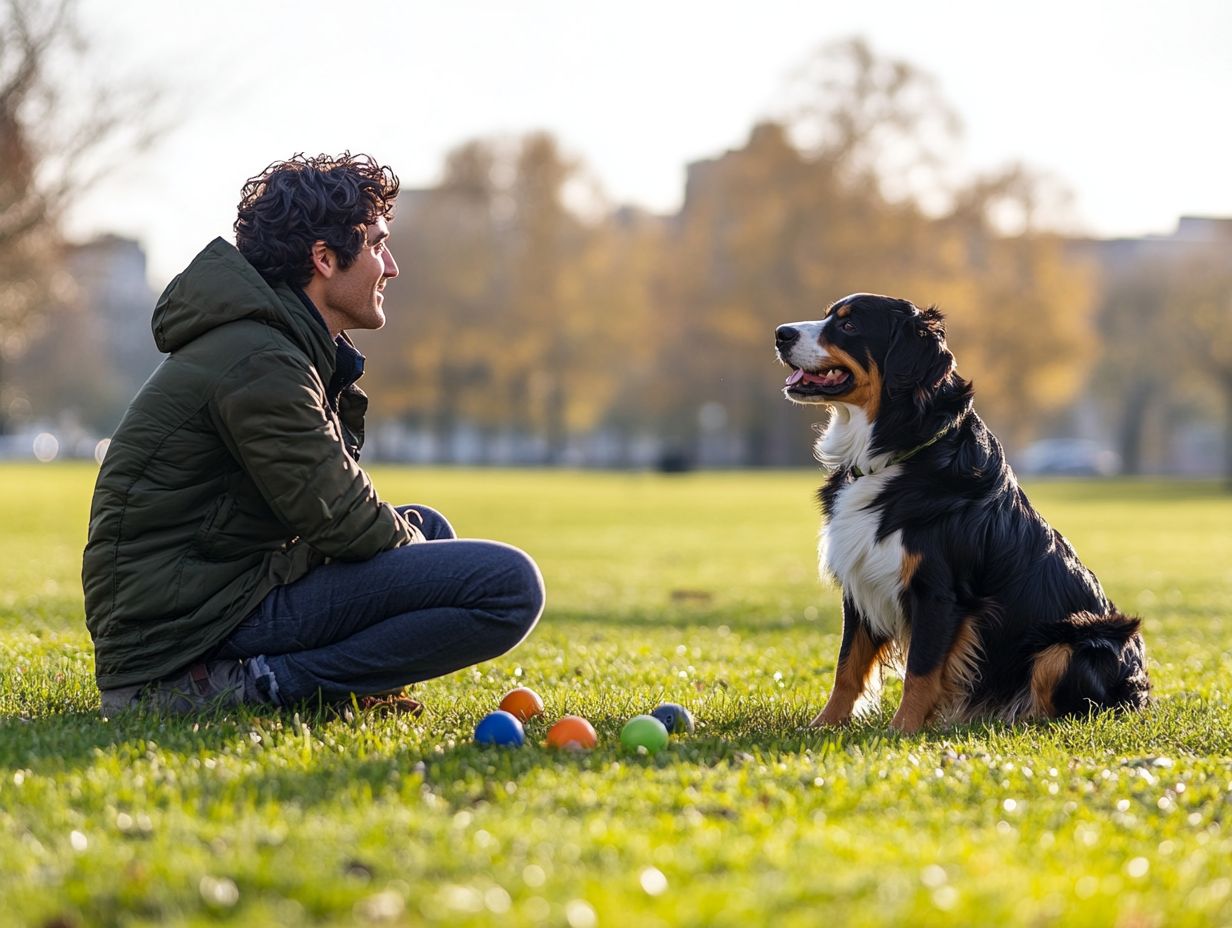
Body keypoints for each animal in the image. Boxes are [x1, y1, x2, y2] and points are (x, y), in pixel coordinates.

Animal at [773, 290, 1148, 729]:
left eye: (848, 325)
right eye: (829, 315)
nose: (780, 333)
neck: (898, 449)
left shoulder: (939, 592)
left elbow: (920, 671)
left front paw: (901, 730)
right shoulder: (860, 582)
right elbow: (847, 666)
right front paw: (824, 725)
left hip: (1078, 641)